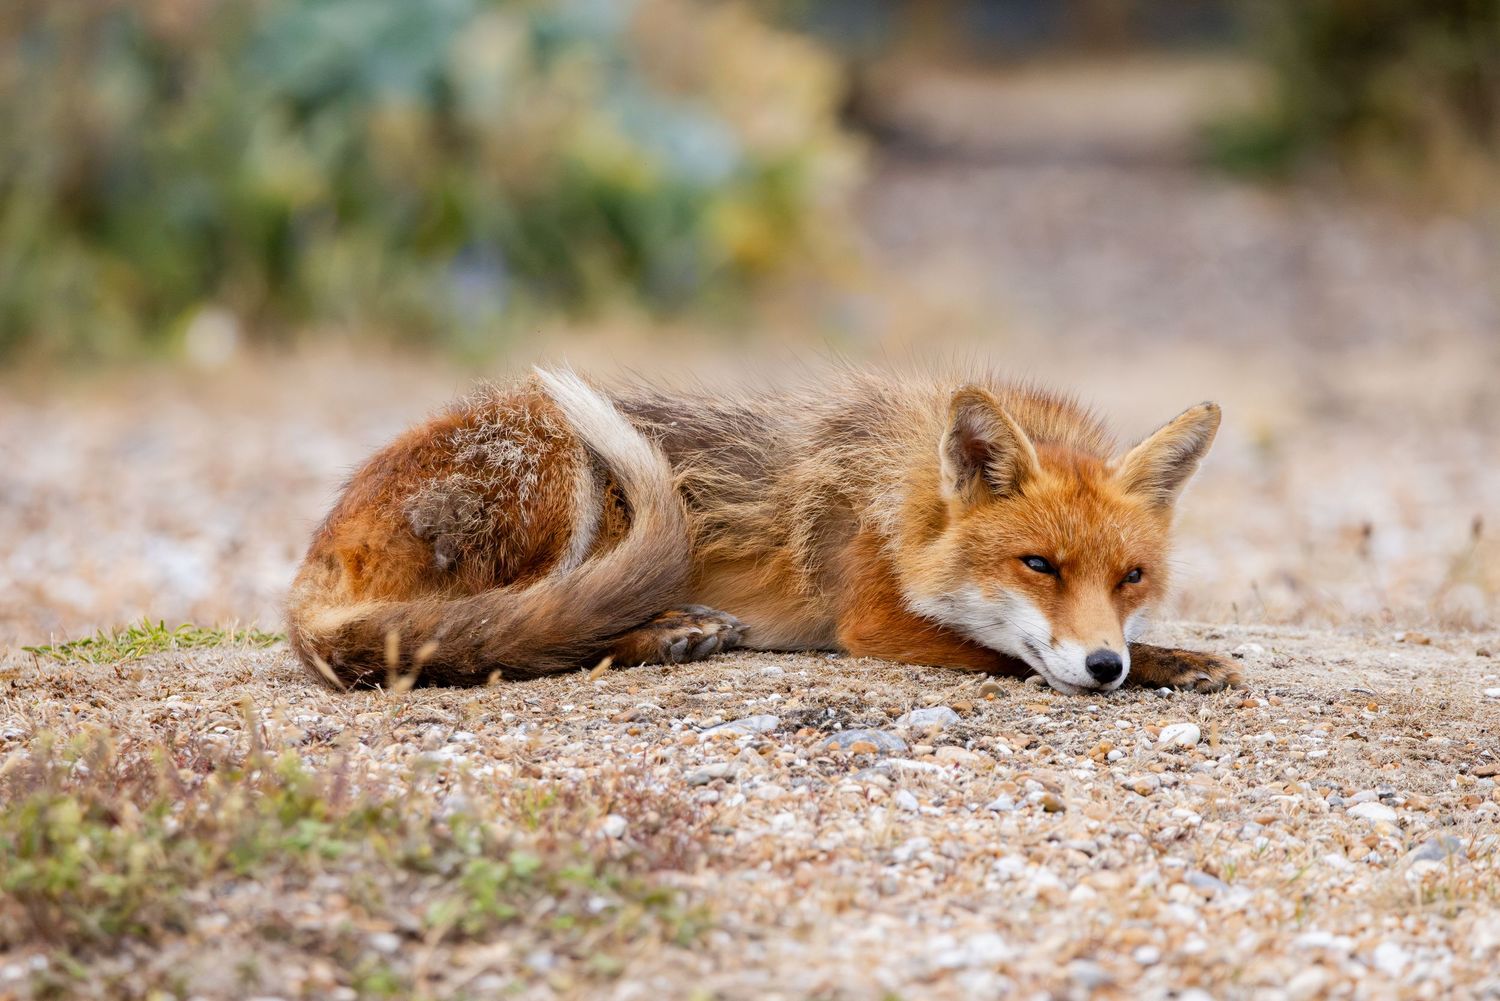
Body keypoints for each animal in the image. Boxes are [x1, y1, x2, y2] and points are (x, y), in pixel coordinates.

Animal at [287, 368, 1241, 695]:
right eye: (1037, 564)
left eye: (1131, 578)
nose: (1105, 665)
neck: (901, 496)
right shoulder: (875, 621)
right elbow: (1010, 652)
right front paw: (1165, 663)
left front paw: (1169, 657)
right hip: (563, 472)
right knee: (517, 637)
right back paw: (664, 630)